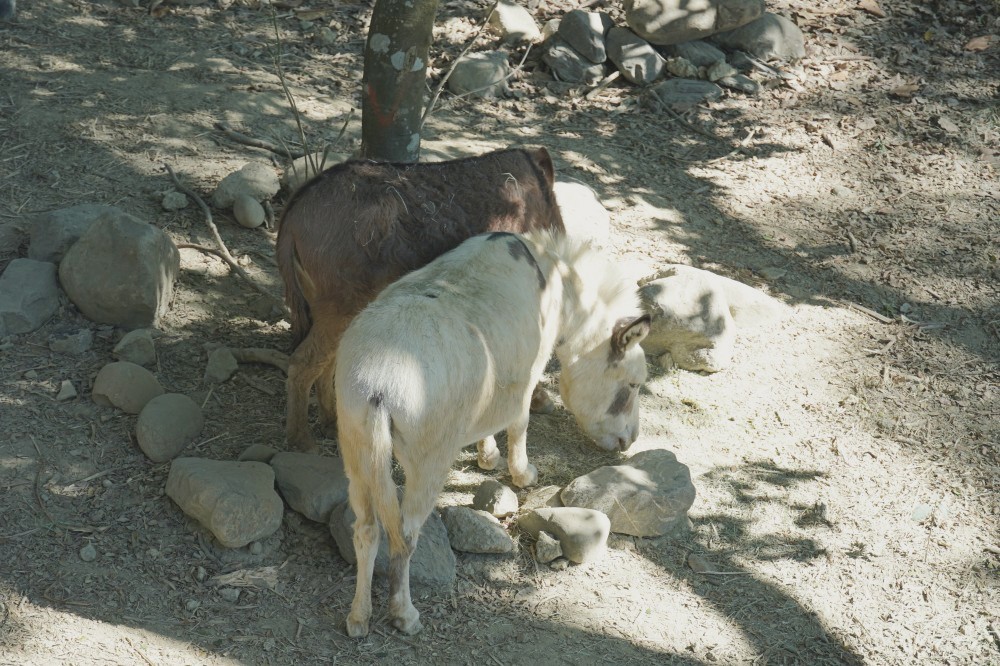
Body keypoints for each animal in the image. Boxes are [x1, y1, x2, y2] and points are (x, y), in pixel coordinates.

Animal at [278, 147, 568, 448]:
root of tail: (294, 213)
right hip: (340, 310)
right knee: (302, 364)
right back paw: (301, 440)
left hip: (334, 313)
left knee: (324, 365)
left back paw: (330, 422)